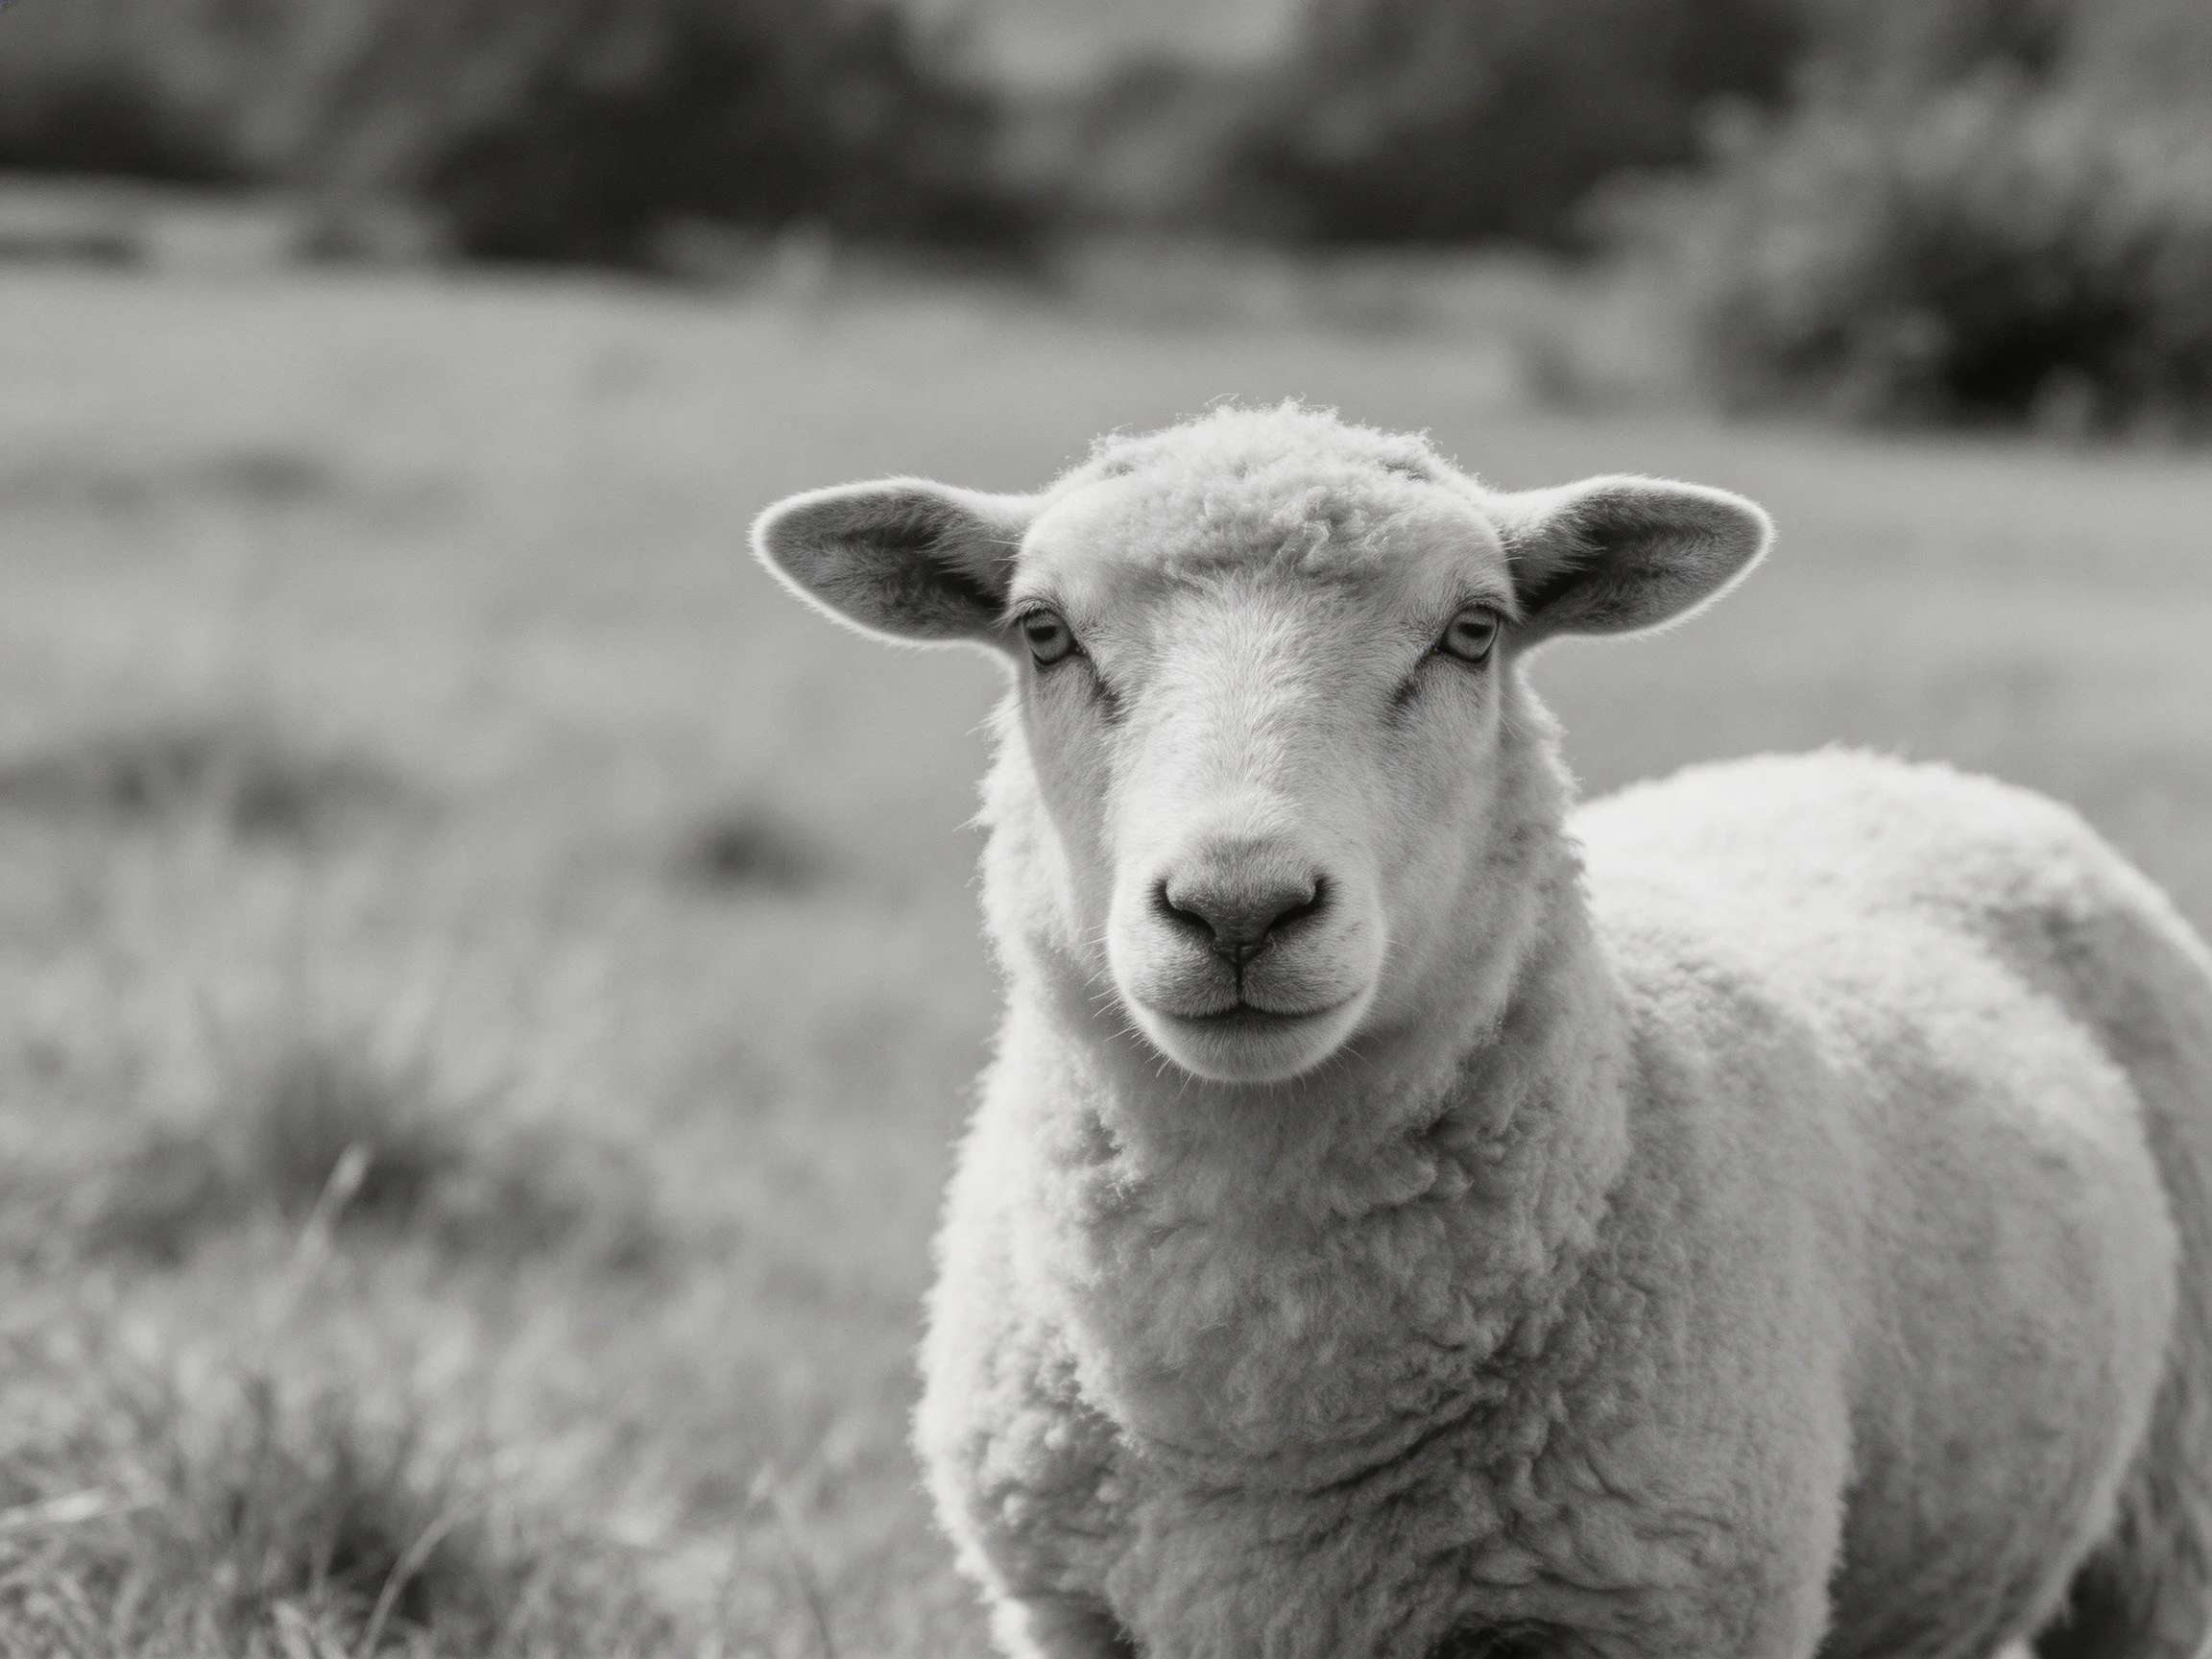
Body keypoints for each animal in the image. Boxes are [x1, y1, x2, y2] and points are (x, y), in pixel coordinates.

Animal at [752, 402, 2212, 1659]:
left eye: (1471, 631)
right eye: (1044, 633)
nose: (1239, 906)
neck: (1261, 1418)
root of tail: (1892, 769)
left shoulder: (1675, 1609)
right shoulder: (1066, 1613)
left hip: (2167, 1528)